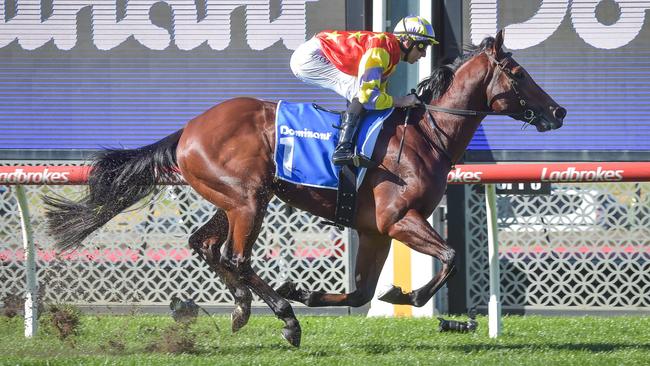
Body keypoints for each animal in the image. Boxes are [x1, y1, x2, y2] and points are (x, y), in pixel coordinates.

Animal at [45, 30, 560, 346]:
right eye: (518, 74)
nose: (559, 112)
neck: (424, 136)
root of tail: (188, 129)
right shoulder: (399, 220)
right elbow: (450, 255)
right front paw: (408, 297)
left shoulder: (374, 230)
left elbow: (360, 292)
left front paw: (313, 294)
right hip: (248, 200)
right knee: (236, 256)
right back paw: (285, 319)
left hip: (234, 198)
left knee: (205, 245)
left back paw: (243, 308)